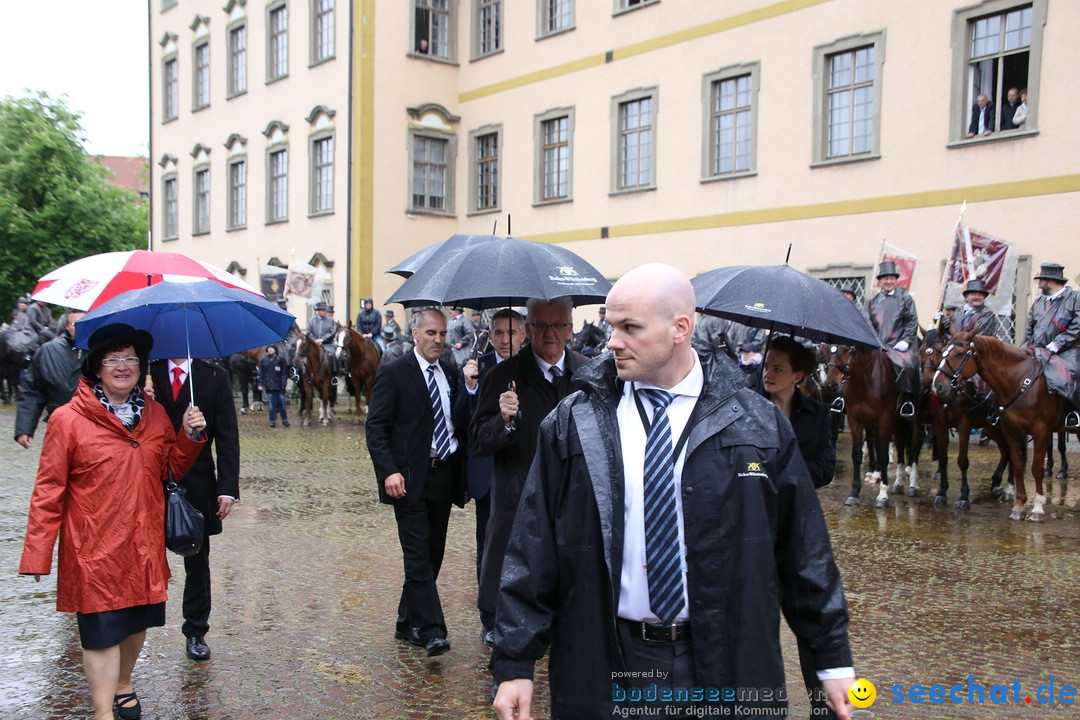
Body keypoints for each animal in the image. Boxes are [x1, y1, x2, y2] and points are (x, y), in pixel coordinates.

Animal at [825, 343, 920, 507]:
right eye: (831, 348)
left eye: (846, 349)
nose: (831, 384)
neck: (864, 380)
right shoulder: (855, 419)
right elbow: (857, 454)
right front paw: (854, 493)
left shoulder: (884, 420)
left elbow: (883, 455)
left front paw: (882, 494)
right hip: (896, 422)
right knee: (900, 445)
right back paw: (898, 483)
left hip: (913, 421)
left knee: (913, 447)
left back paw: (912, 484)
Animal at [933, 332, 1067, 524]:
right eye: (942, 352)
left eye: (959, 353)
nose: (937, 385)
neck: (1019, 380)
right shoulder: (1009, 429)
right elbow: (1017, 464)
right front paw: (1019, 506)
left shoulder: (1040, 431)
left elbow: (1036, 468)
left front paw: (1037, 508)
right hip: (993, 428)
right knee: (1005, 452)